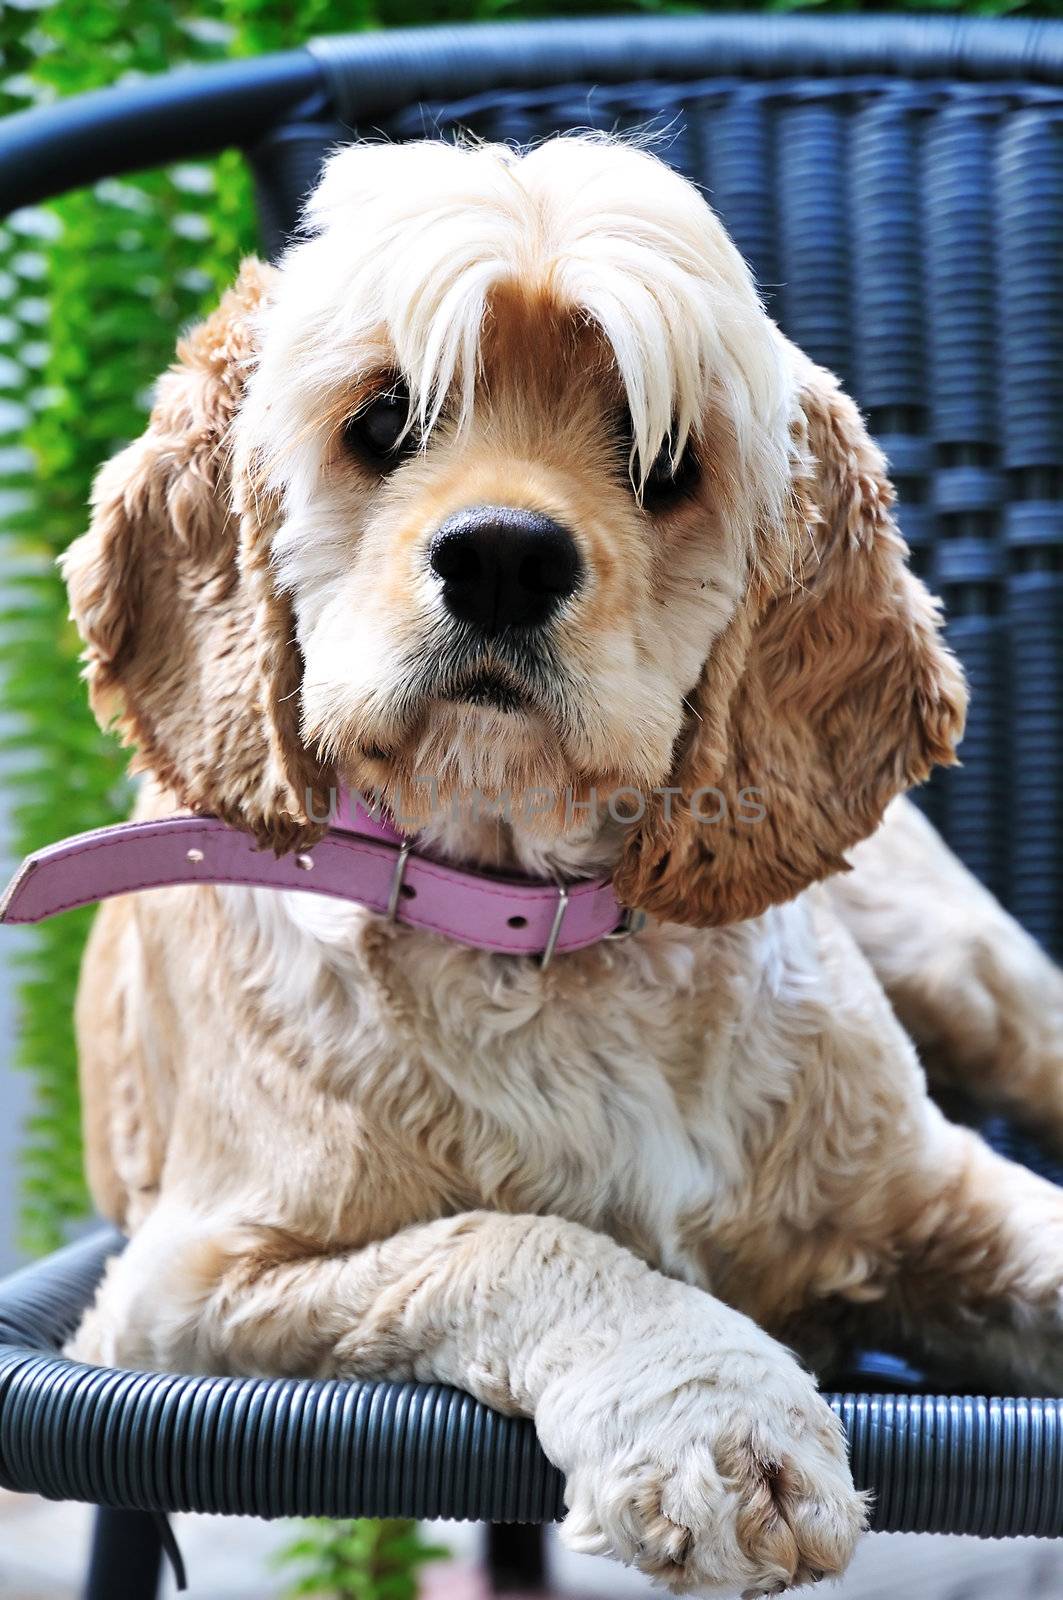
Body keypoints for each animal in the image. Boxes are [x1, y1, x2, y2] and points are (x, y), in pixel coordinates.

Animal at [60, 140, 1063, 1600]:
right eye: (385, 420)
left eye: (660, 459)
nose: (501, 556)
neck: (538, 931)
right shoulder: (179, 1299)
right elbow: (516, 1237)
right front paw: (716, 1418)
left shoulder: (936, 1190)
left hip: (966, 973)